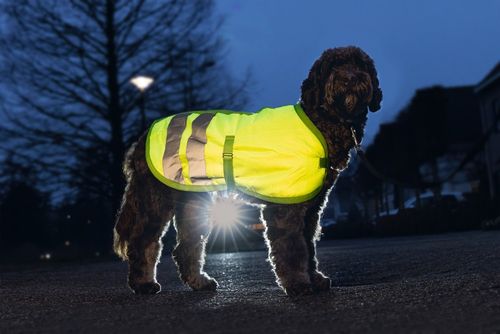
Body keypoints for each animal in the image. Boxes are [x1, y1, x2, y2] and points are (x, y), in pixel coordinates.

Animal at [114, 46, 382, 294]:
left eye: (360, 64)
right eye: (332, 66)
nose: (349, 77)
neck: (321, 123)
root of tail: (140, 140)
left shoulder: (311, 208)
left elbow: (309, 246)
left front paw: (314, 278)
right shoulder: (285, 207)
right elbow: (293, 248)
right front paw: (298, 284)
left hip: (193, 201)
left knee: (186, 246)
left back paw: (199, 281)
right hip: (156, 199)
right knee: (143, 242)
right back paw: (143, 283)